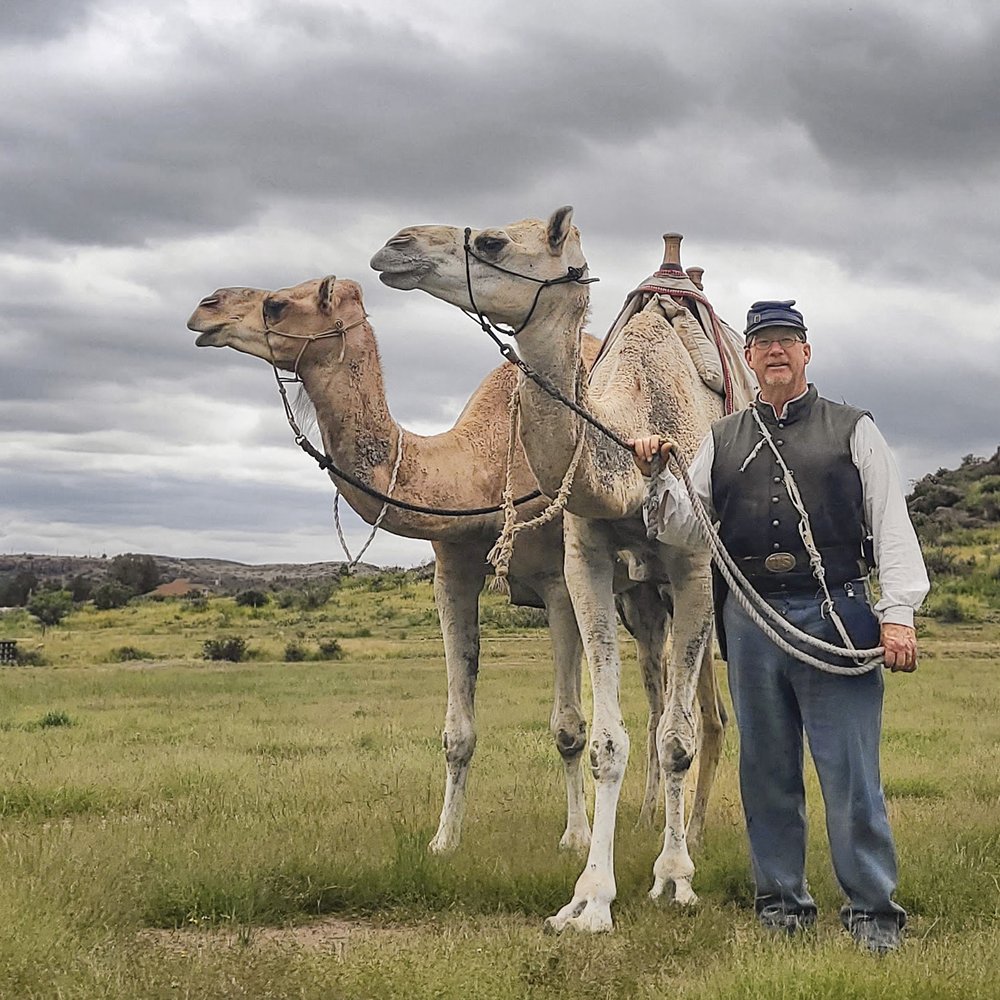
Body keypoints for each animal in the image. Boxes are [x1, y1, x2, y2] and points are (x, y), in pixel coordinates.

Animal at [186, 275, 674, 856]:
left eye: (277, 304)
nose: (205, 309)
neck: (482, 471)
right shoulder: (452, 573)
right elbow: (456, 732)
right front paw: (443, 840)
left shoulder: (558, 583)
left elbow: (568, 727)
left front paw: (575, 838)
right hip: (635, 594)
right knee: (658, 687)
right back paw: (647, 815)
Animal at [371, 208, 738, 932]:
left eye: (491, 241)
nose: (392, 246)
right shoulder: (586, 558)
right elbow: (606, 742)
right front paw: (591, 897)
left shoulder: (693, 565)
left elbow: (677, 740)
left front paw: (675, 877)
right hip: (644, 598)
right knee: (663, 702)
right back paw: (659, 823)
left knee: (709, 716)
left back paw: (697, 838)